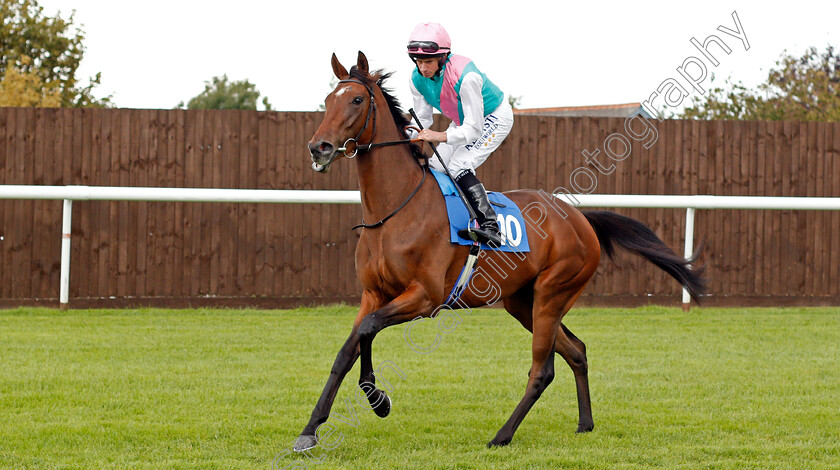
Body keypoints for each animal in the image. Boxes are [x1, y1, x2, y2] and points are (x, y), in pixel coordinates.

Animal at [296, 52, 708, 452]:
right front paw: (310, 429)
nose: (319, 147)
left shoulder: (425, 298)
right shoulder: (373, 293)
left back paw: (502, 435)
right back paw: (585, 424)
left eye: (356, 99)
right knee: (576, 350)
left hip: (552, 294)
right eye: (329, 99)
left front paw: (378, 399)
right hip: (523, 301)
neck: (395, 209)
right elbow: (346, 351)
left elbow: (368, 329)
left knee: (543, 370)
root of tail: (580, 218)